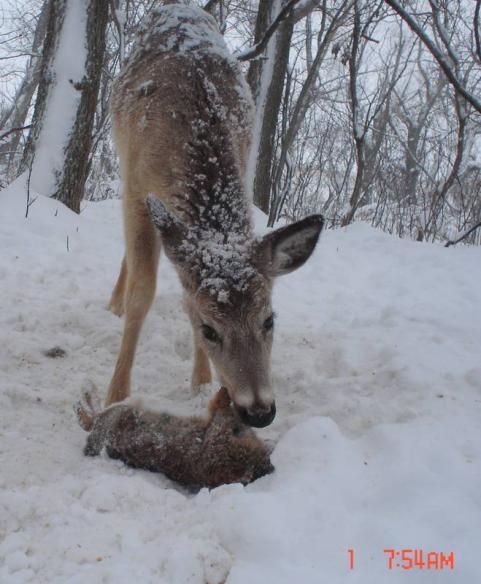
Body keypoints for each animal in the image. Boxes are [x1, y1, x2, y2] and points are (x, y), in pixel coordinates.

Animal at [105, 1, 322, 428]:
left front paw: (202, 385)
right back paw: (114, 305)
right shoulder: (138, 187)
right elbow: (143, 292)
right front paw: (115, 396)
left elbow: (184, 292)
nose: (259, 411)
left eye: (269, 320)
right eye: (209, 330)